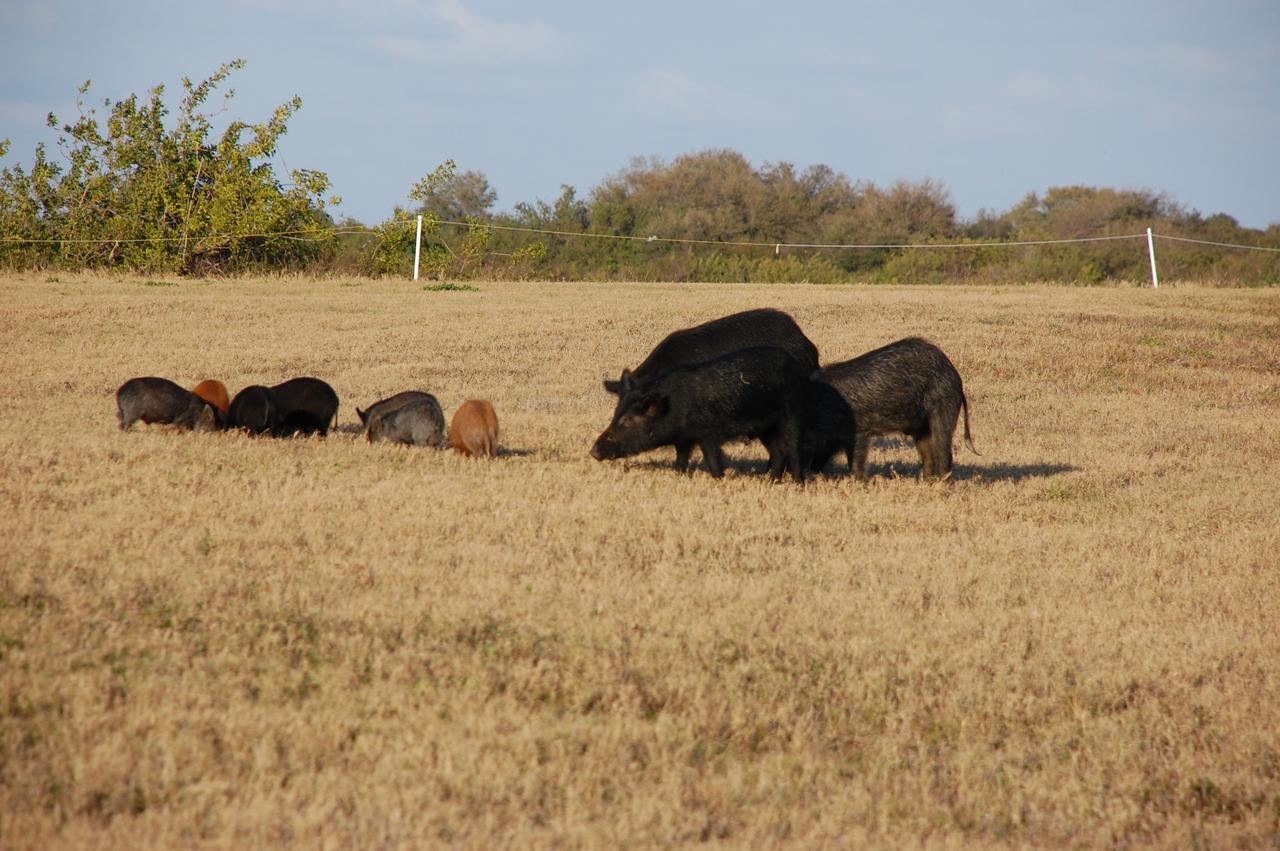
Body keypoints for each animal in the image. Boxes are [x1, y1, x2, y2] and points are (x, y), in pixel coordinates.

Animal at [591, 346, 808, 482]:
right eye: (615, 414)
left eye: (627, 421)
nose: (593, 452)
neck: (676, 406)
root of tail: (796, 366)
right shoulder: (684, 440)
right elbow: (680, 460)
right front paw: (680, 475)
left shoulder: (708, 434)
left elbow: (713, 459)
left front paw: (720, 479)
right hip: (766, 429)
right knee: (778, 451)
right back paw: (771, 481)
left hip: (792, 415)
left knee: (794, 450)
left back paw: (797, 484)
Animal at [807, 337, 978, 480]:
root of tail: (956, 377)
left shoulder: (860, 431)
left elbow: (856, 461)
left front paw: (859, 482)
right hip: (921, 428)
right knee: (929, 456)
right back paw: (925, 482)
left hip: (943, 412)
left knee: (944, 454)